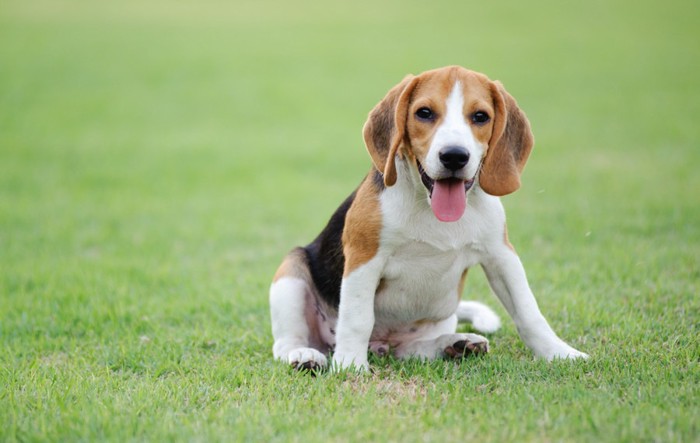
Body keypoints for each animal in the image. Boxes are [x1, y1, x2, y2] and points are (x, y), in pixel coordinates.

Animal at [268, 66, 584, 372]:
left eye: (480, 116)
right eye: (424, 113)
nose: (454, 156)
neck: (430, 207)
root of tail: (381, 345)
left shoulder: (501, 255)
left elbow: (528, 312)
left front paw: (559, 353)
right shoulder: (364, 258)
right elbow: (358, 318)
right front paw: (350, 365)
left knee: (412, 351)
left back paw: (456, 345)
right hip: (290, 278)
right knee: (287, 343)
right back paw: (305, 355)